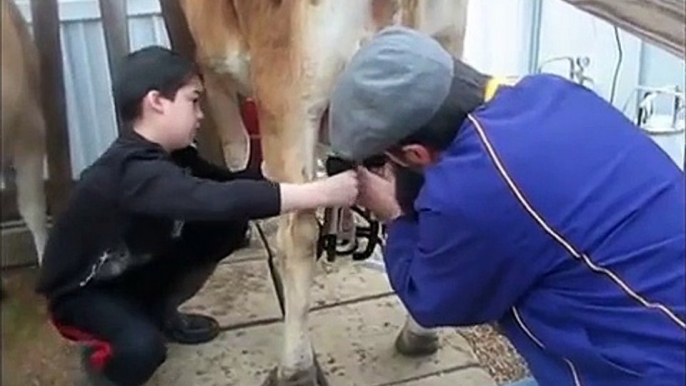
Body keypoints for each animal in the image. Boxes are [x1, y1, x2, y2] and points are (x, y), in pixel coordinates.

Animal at [175, 1, 470, 384]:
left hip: (291, 96)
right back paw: (419, 336)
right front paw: (344, 229)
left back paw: (294, 368)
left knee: (297, 234)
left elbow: (225, 129)